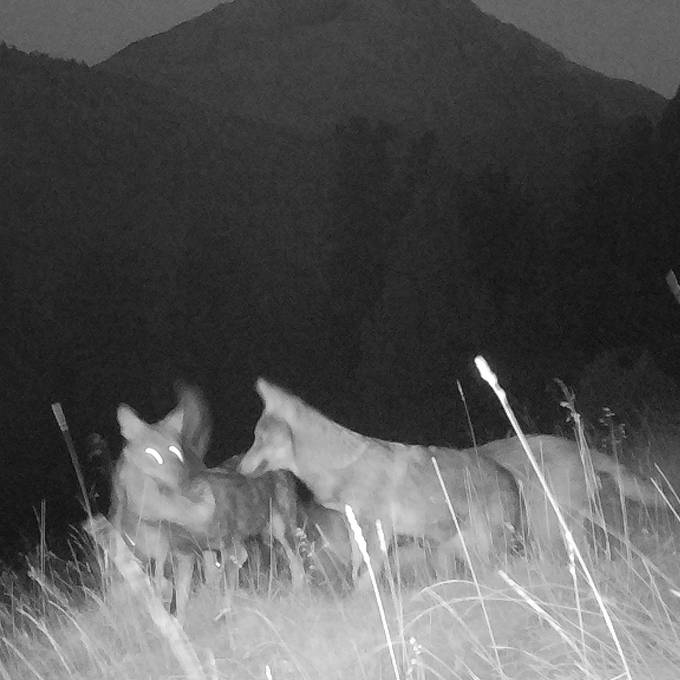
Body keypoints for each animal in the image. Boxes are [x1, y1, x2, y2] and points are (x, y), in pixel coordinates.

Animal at [108, 386, 302, 620]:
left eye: (175, 451)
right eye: (152, 454)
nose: (182, 480)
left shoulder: (233, 550)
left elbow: (225, 595)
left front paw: (225, 619)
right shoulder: (184, 557)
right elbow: (181, 604)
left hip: (282, 530)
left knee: (298, 566)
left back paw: (300, 597)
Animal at [238, 378, 520, 584]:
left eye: (259, 439)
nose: (239, 469)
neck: (340, 467)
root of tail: (509, 476)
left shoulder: (375, 531)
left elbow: (364, 579)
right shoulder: (357, 531)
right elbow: (357, 573)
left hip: (479, 548)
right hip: (447, 551)